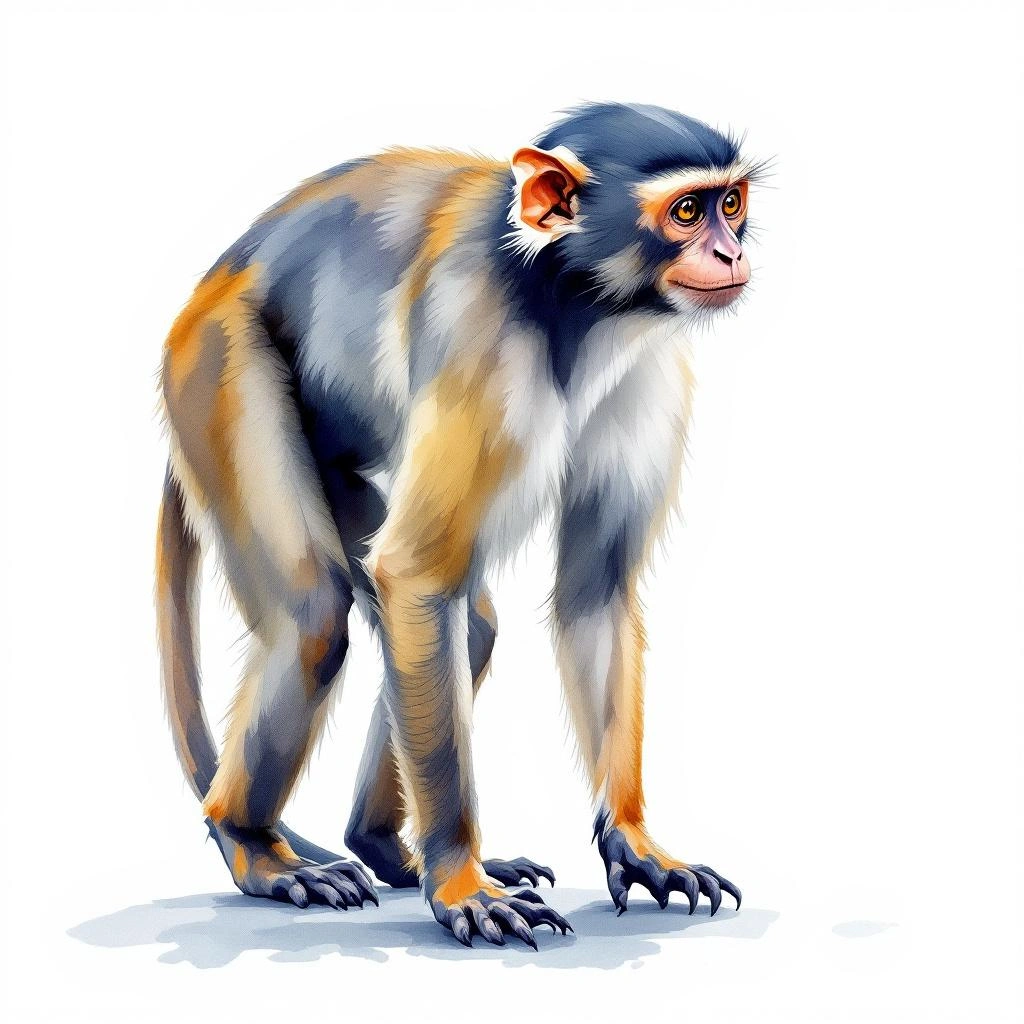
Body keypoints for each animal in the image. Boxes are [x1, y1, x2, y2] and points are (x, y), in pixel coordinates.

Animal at [155, 102, 757, 948]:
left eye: (731, 203)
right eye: (687, 212)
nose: (731, 250)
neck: (570, 299)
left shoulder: (651, 369)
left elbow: (593, 595)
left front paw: (633, 842)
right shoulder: (483, 340)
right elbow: (412, 576)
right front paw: (461, 887)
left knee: (463, 624)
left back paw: (381, 847)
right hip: (213, 365)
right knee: (314, 615)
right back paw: (257, 846)